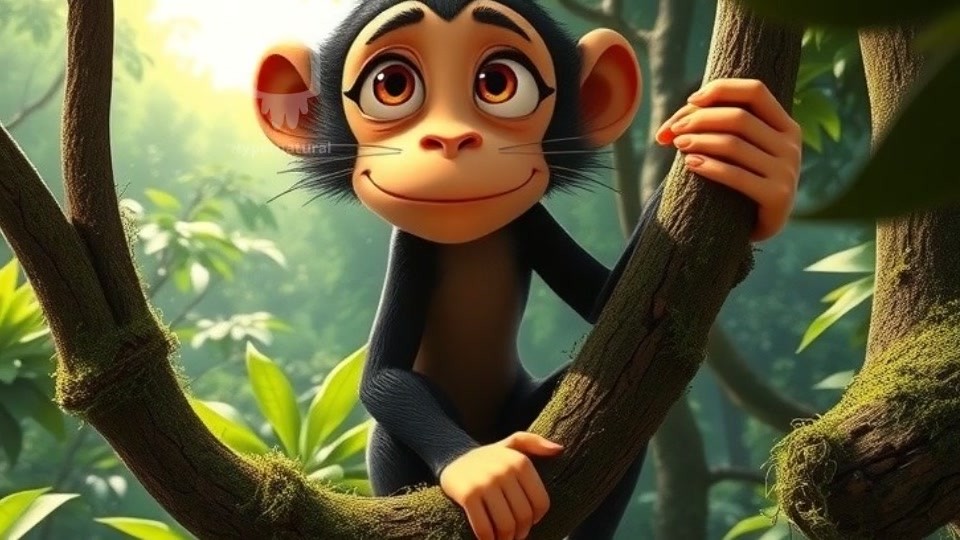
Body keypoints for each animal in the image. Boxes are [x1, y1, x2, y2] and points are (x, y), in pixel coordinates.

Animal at [253, 1, 801, 538]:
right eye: (391, 85)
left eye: (498, 83)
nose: (451, 141)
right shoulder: (413, 246)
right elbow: (380, 377)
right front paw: (481, 471)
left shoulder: (529, 221)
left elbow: (610, 301)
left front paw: (755, 156)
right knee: (392, 427)